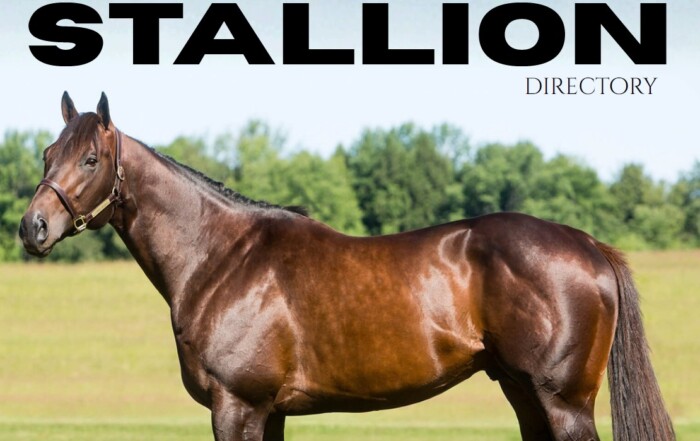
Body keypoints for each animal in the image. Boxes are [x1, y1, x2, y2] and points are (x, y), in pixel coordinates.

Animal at [19, 93, 674, 441]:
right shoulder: (269, 412)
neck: (221, 257)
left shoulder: (237, 407)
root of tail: (589, 245)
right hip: (525, 395)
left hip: (563, 403)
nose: (33, 228)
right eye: (49, 153)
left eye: (92, 158)